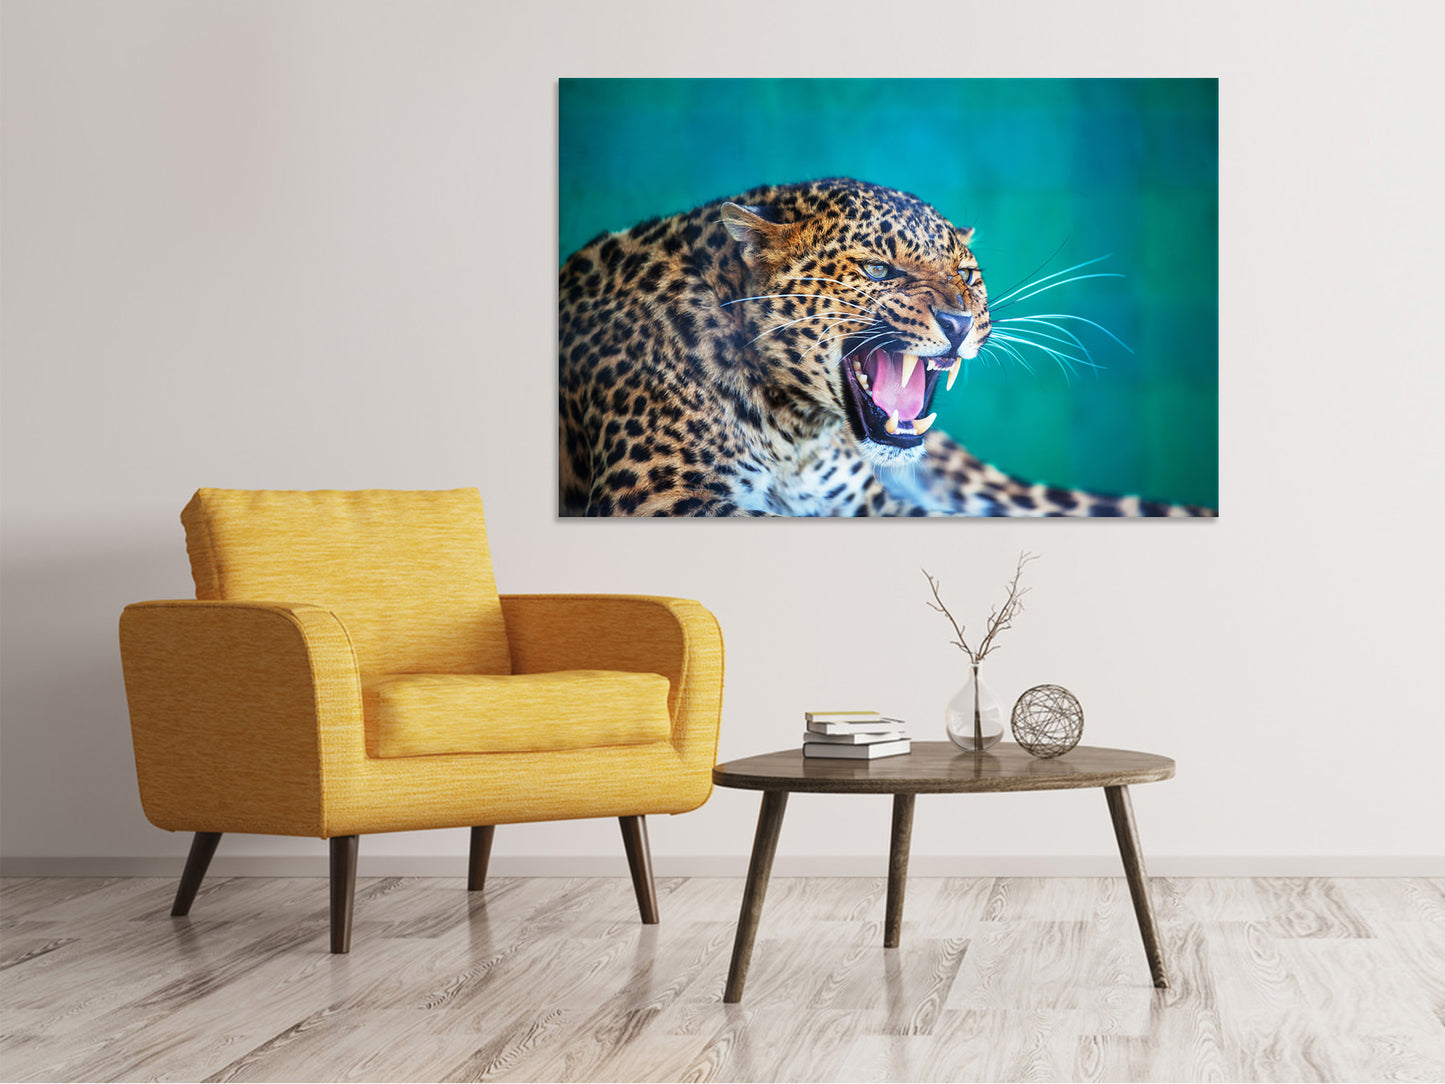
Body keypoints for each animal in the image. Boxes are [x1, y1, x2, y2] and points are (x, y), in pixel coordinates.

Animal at [558, 177, 1216, 517]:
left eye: (967, 275)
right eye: (877, 270)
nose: (959, 320)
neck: (795, 434)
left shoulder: (875, 507)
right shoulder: (660, 500)